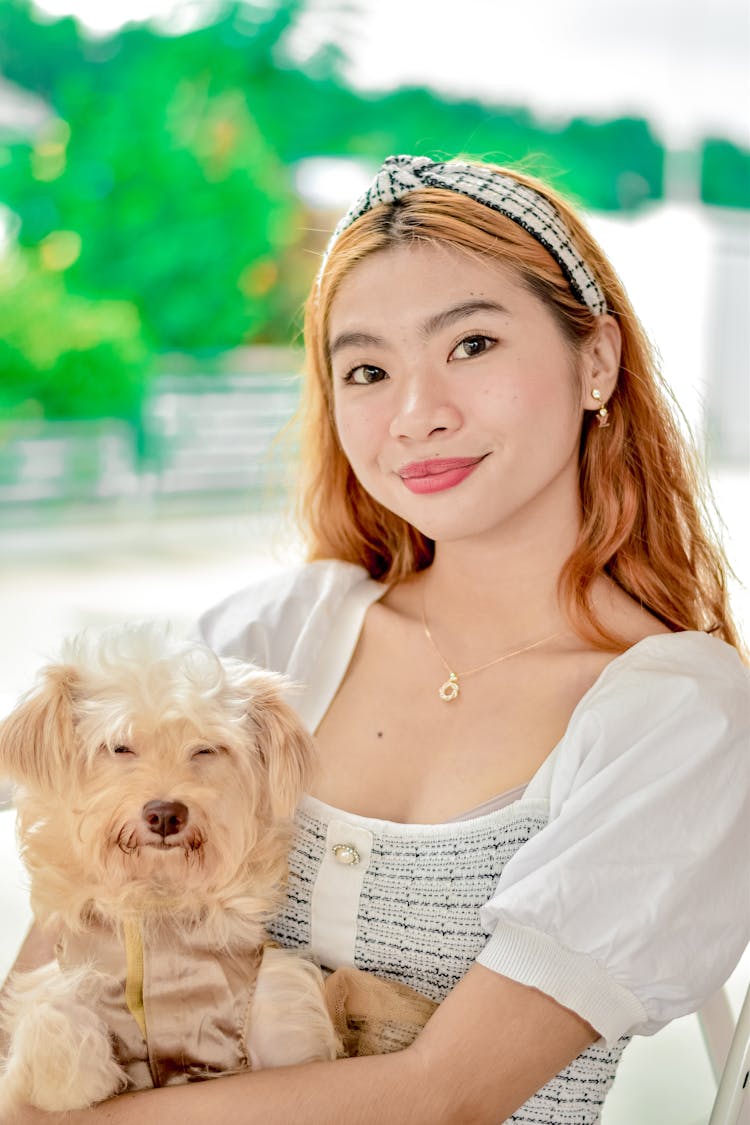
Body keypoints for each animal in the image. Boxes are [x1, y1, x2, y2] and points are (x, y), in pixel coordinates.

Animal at [0, 630, 339, 1111]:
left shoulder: (281, 1019)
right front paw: (83, 1065)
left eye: (206, 749)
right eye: (119, 746)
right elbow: (50, 1015)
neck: (155, 900)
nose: (165, 814)